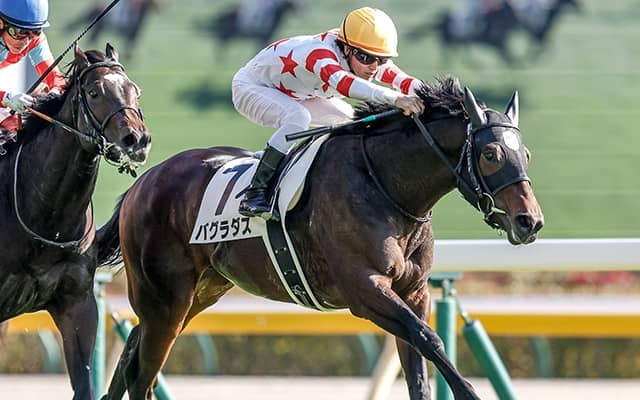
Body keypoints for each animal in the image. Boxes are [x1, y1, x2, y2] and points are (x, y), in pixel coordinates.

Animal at [96, 76, 543, 400]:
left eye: (526, 155)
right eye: (491, 154)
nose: (530, 222)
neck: (385, 184)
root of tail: (143, 183)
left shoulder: (414, 292)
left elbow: (419, 366)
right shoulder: (365, 290)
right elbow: (428, 338)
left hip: (197, 294)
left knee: (133, 353)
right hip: (165, 298)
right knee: (141, 376)